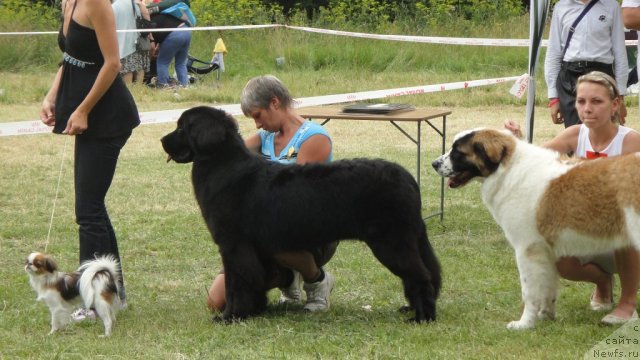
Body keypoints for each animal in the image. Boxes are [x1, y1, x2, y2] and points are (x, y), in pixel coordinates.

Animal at [161, 105, 440, 322]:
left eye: (181, 128)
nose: (162, 141)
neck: (223, 164)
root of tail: (407, 177)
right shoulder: (252, 249)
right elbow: (253, 281)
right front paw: (255, 310)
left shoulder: (234, 246)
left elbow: (236, 284)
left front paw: (231, 316)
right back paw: (410, 309)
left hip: (391, 243)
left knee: (420, 276)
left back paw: (422, 317)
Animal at [430, 129, 640, 330]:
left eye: (458, 153)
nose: (434, 164)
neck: (507, 170)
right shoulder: (546, 252)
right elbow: (548, 287)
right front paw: (545, 316)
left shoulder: (527, 249)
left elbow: (529, 291)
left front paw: (525, 323)